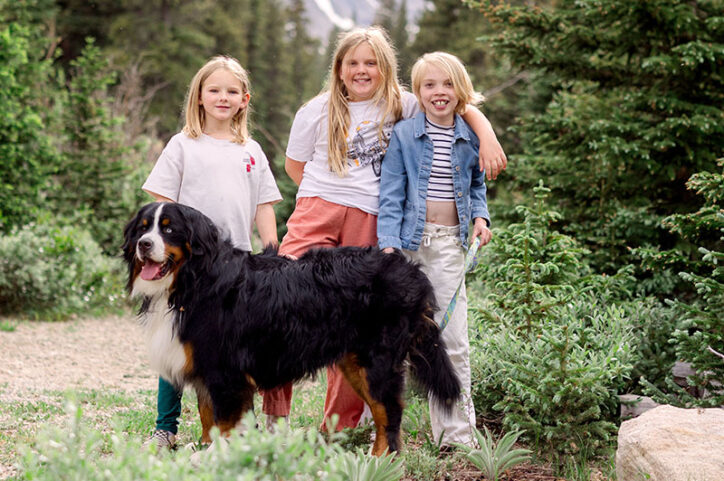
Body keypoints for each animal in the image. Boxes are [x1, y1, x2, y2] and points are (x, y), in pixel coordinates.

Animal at [123, 202, 458, 454]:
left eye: (169, 229)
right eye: (143, 227)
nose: (144, 244)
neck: (193, 280)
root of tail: (409, 271)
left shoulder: (225, 373)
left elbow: (224, 425)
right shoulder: (208, 370)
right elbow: (209, 419)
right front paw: (207, 452)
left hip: (377, 362)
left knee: (389, 412)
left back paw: (380, 461)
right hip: (355, 363)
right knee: (381, 411)